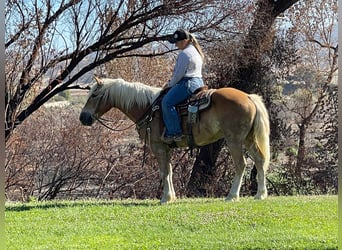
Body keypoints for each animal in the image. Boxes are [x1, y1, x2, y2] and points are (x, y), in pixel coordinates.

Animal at [79, 76, 270, 203]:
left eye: (94, 95)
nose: (83, 118)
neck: (148, 107)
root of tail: (248, 97)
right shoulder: (166, 147)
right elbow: (169, 171)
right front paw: (171, 197)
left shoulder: (158, 147)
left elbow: (164, 172)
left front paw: (166, 198)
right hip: (248, 139)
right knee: (260, 160)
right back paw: (260, 194)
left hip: (234, 140)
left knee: (241, 165)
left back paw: (232, 196)